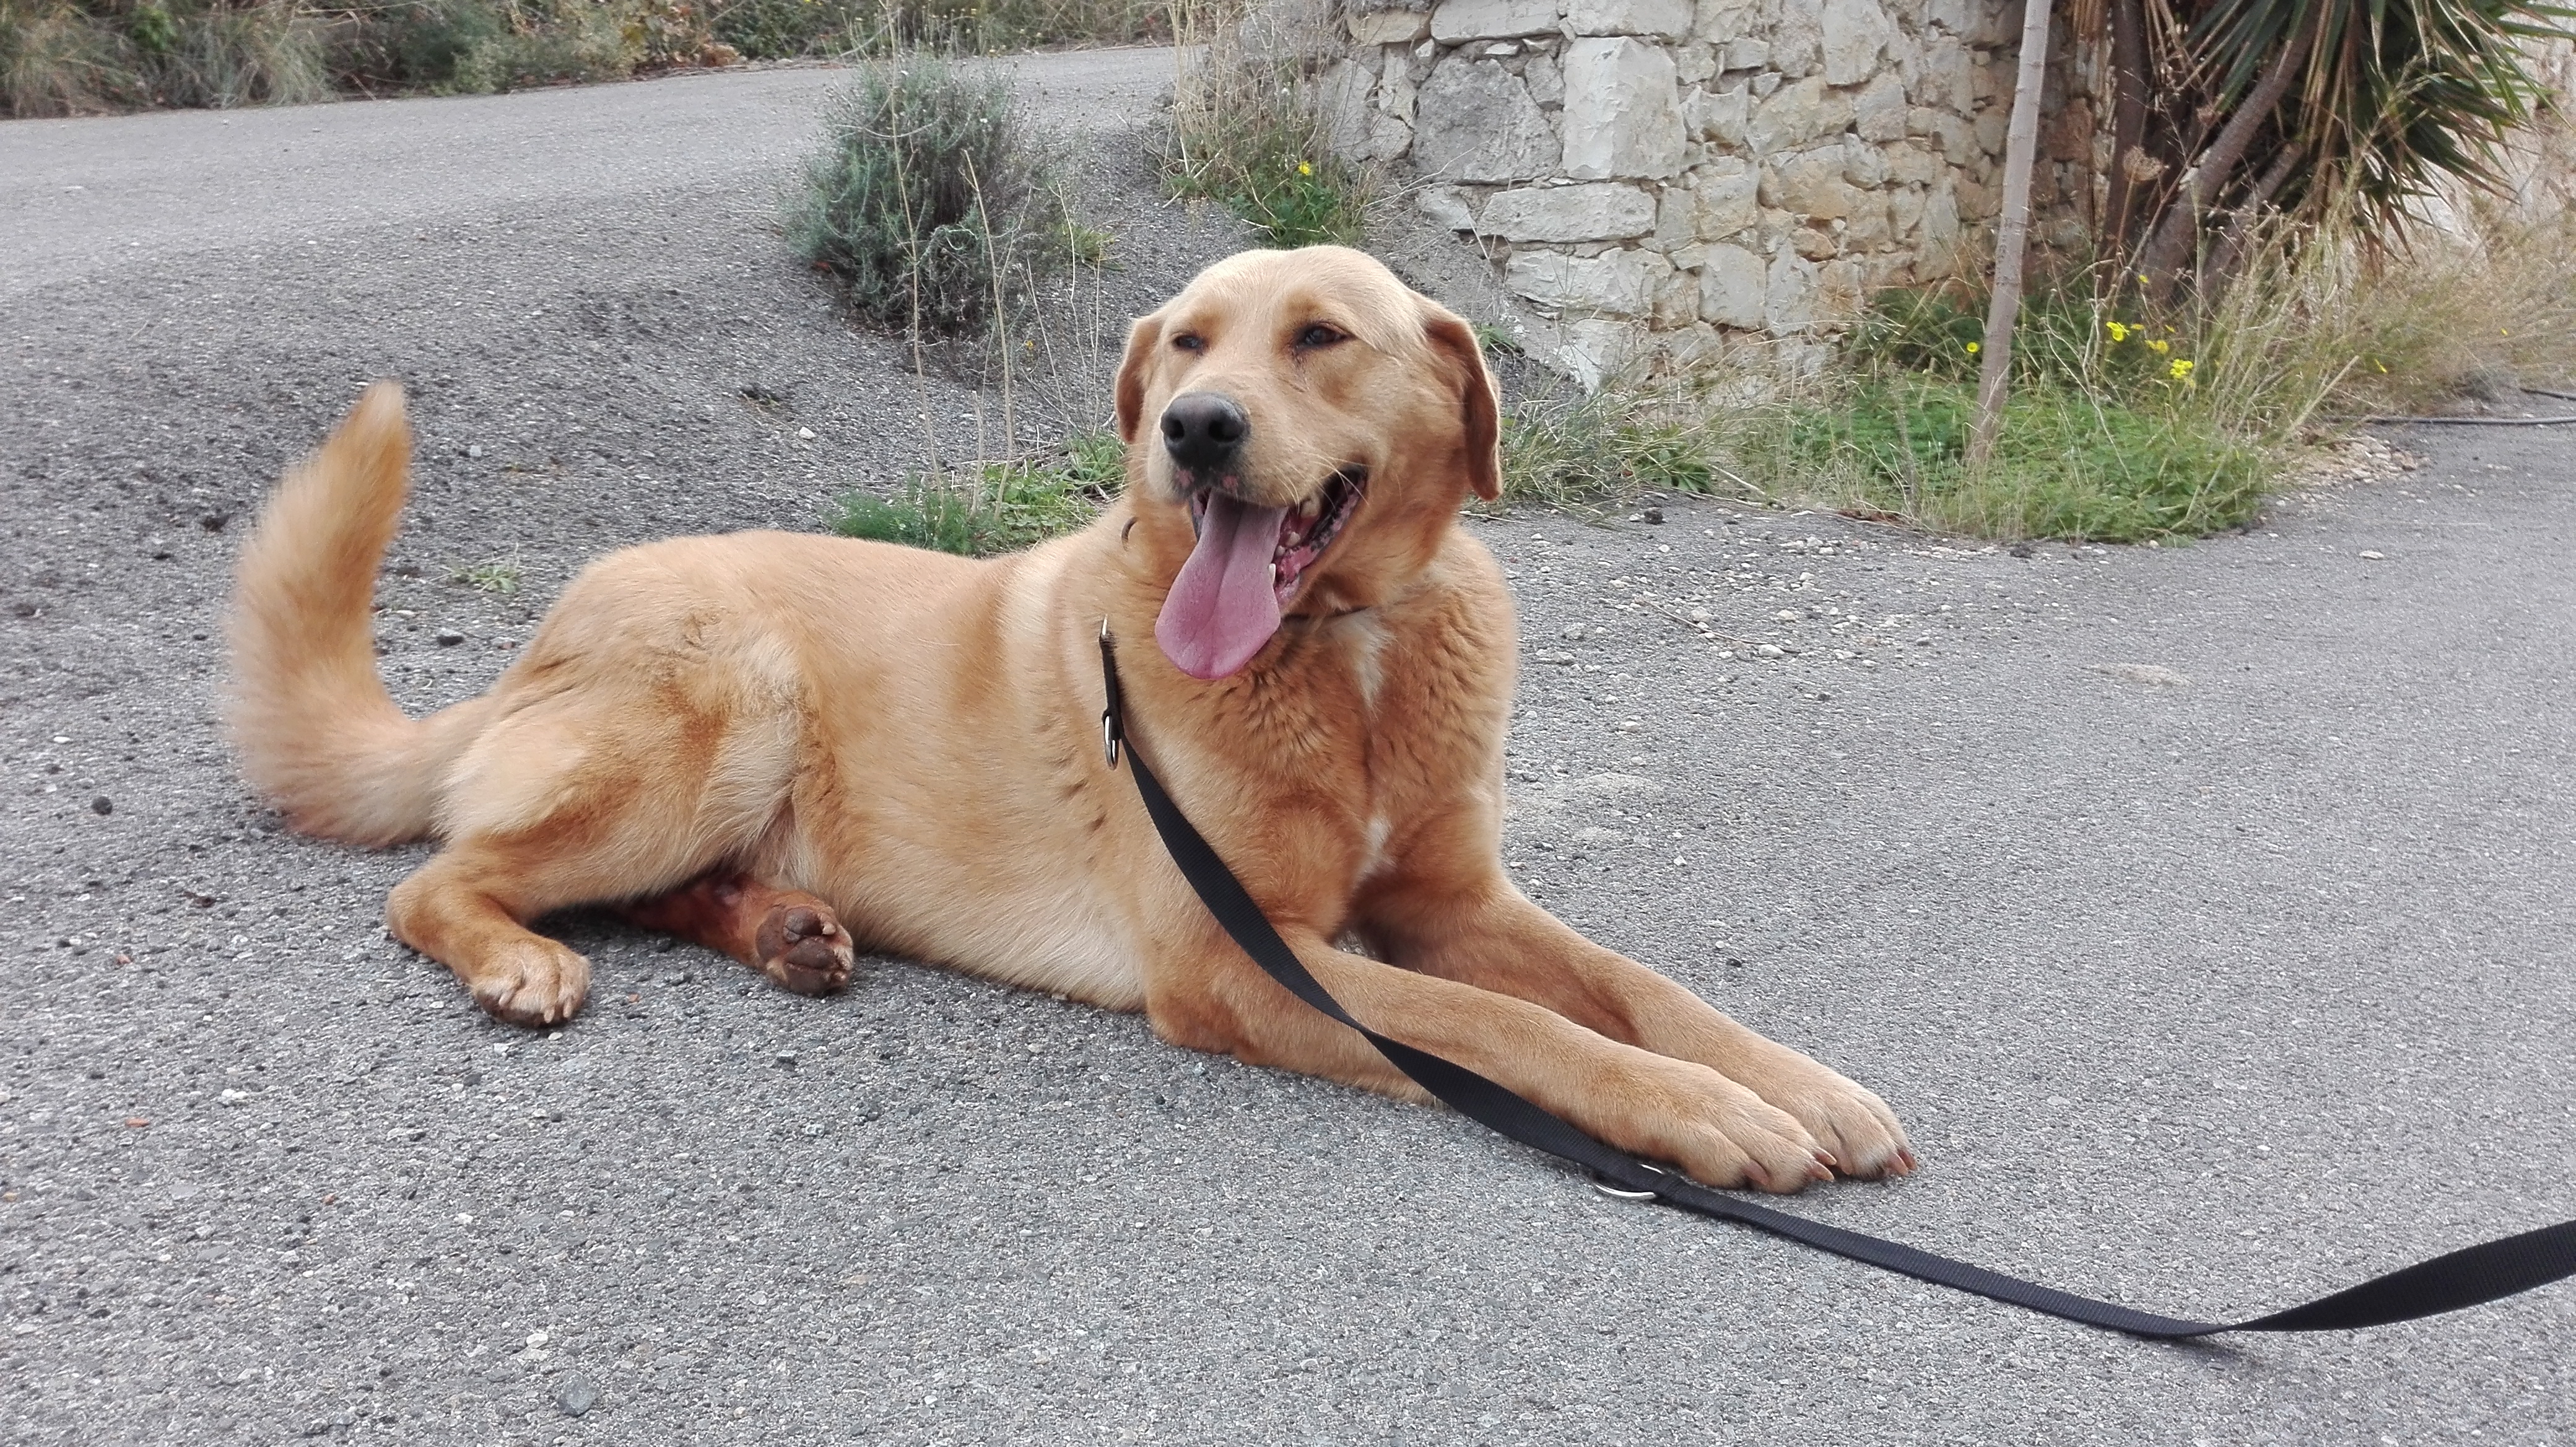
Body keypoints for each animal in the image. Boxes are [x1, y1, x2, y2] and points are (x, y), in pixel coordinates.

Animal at [227, 246, 1911, 1192]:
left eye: (1320, 337)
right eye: (1186, 342)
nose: (1195, 430)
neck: (1343, 649)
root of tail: (541, 640)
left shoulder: (1454, 901)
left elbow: (1632, 985)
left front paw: (1794, 1082)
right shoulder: (1242, 960)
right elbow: (1514, 1029)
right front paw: (1703, 1115)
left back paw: (785, 929)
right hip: (720, 719)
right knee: (438, 879)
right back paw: (518, 954)